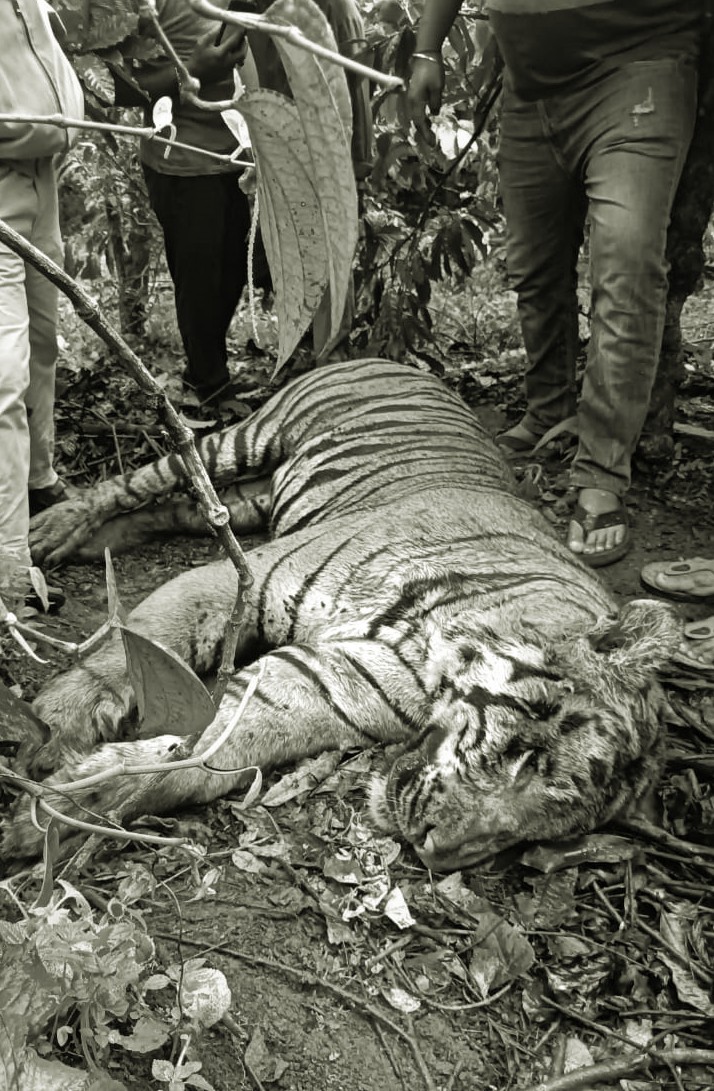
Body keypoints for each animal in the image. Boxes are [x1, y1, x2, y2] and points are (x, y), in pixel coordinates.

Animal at [1, 357, 681, 868]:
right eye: (529, 756)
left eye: (546, 829)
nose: (439, 853)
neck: (434, 655)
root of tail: (402, 361)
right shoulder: (248, 576)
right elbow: (134, 642)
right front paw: (49, 731)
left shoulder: (322, 688)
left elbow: (213, 745)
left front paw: (71, 808)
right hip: (244, 438)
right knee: (145, 478)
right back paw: (53, 529)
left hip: (249, 501)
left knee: (182, 506)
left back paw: (83, 544)